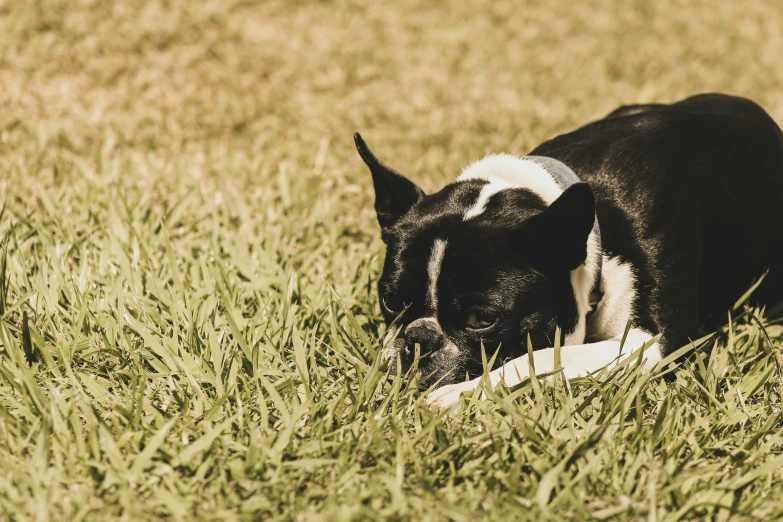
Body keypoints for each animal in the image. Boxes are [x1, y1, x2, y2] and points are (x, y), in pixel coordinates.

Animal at [356, 93, 783, 406]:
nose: (417, 340)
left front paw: (460, 394)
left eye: (482, 319)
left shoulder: (656, 342)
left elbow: (543, 357)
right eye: (390, 301)